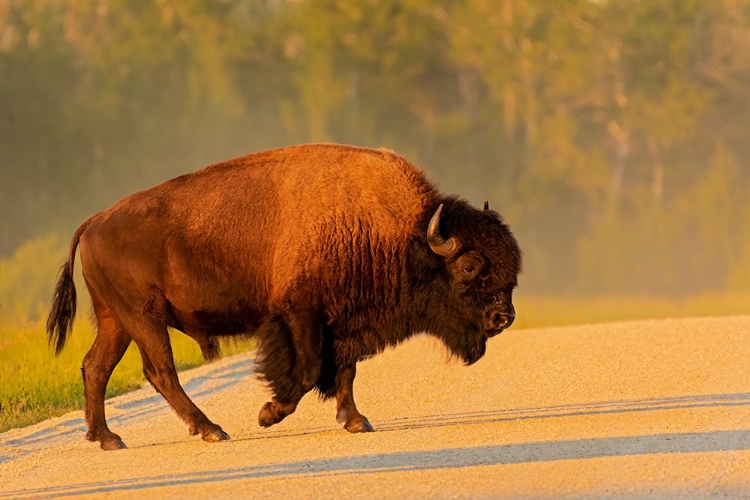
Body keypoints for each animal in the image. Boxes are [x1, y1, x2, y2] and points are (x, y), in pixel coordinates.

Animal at [47, 144, 524, 450]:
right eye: (469, 266)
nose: (504, 318)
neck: (404, 235)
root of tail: (94, 221)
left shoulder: (341, 321)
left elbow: (345, 372)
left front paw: (356, 421)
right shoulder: (301, 314)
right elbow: (309, 370)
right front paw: (269, 412)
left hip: (117, 320)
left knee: (96, 367)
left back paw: (108, 438)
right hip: (143, 317)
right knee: (159, 370)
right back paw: (211, 430)